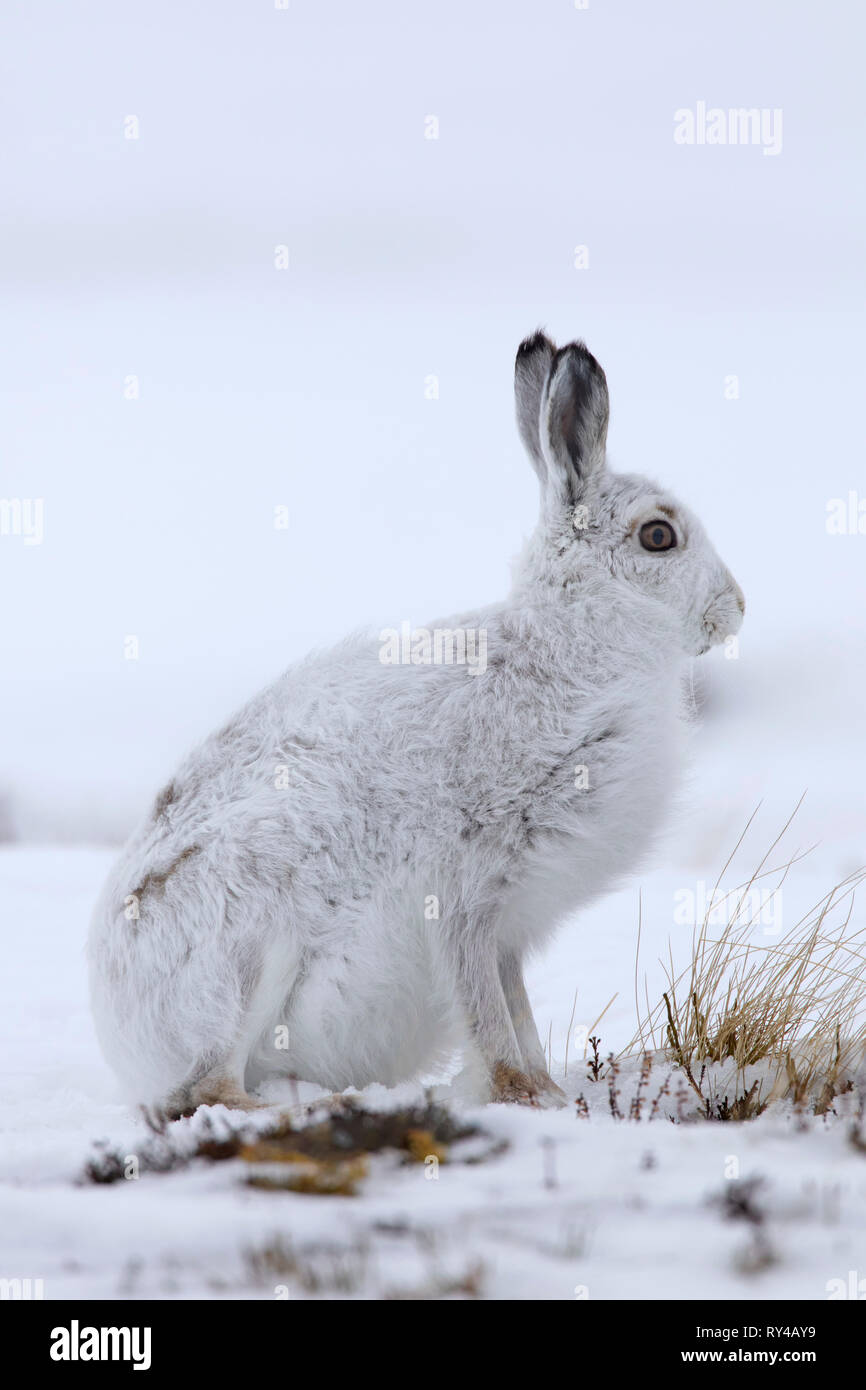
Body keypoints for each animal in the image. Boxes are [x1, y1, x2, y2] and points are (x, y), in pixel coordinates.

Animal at [88, 332, 745, 1116]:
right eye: (659, 536)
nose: (736, 610)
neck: (566, 648)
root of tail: (126, 1046)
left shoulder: (510, 924)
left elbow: (517, 1007)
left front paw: (548, 1091)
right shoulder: (467, 886)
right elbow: (486, 1009)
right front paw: (524, 1096)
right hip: (248, 943)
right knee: (205, 1089)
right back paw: (324, 1106)